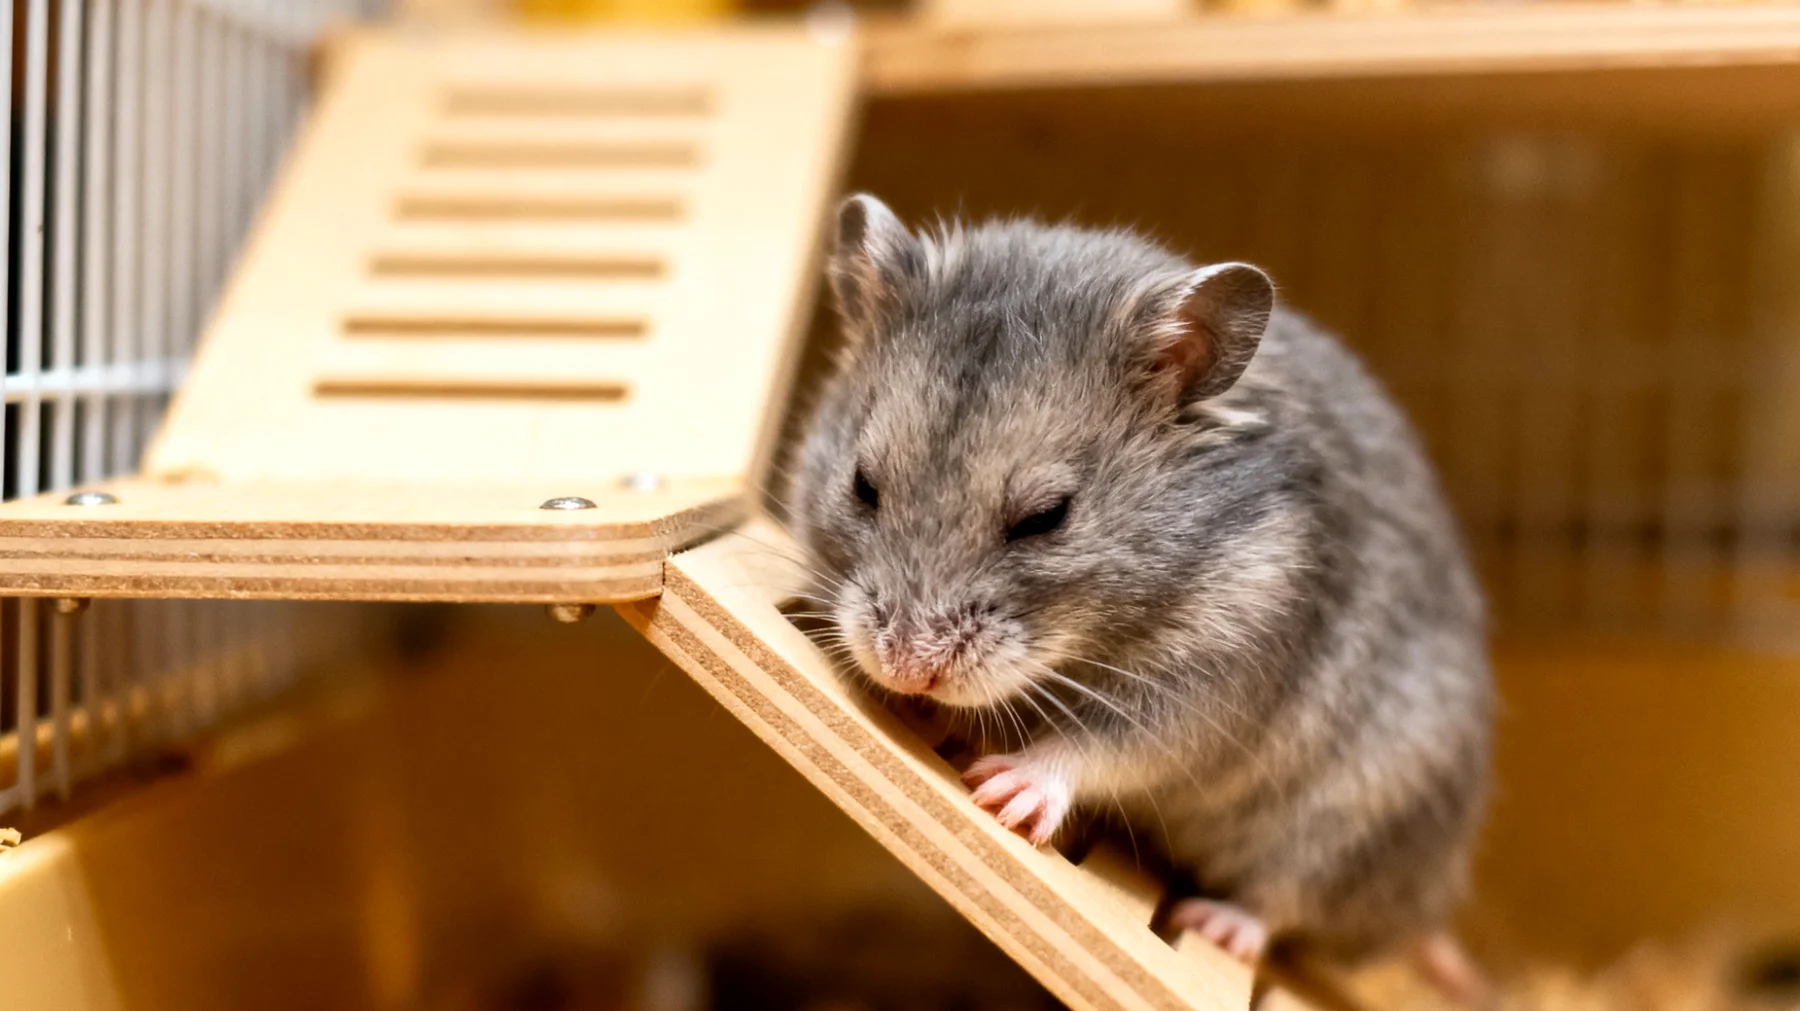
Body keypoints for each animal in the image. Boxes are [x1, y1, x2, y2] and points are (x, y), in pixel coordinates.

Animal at [784, 193, 1494, 980]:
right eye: (862, 484)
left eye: (1046, 517)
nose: (908, 670)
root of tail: (1425, 907)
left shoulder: (1207, 689)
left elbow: (1100, 747)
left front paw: (1003, 790)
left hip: (1357, 821)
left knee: (1284, 901)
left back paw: (1216, 923)